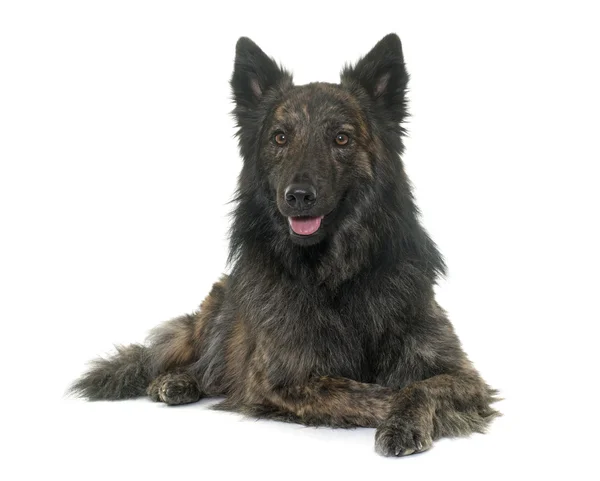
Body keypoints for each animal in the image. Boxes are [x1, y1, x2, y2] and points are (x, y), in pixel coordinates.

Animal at [72, 34, 500, 458]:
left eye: (341, 138)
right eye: (280, 138)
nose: (298, 196)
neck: (335, 275)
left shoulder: (462, 373)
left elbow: (416, 385)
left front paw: (406, 420)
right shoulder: (281, 380)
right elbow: (373, 393)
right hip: (218, 308)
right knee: (199, 365)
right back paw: (174, 381)